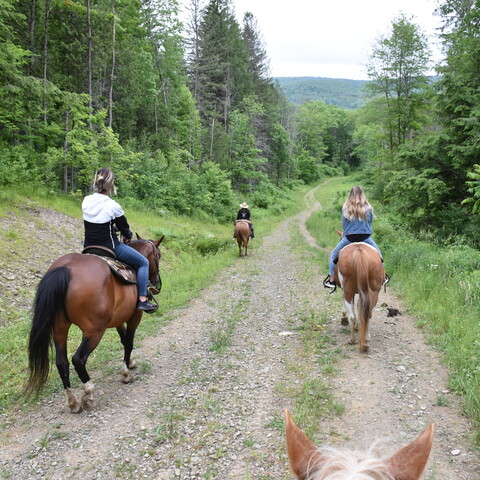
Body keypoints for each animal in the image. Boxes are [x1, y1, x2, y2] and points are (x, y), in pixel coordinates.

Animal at [26, 236, 165, 412]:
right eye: (158, 255)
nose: (157, 283)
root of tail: (66, 269)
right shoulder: (134, 316)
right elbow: (129, 342)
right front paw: (126, 373)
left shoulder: (118, 319)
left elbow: (123, 340)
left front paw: (130, 362)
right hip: (94, 331)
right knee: (78, 359)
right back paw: (89, 394)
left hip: (59, 330)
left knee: (61, 363)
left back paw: (73, 401)